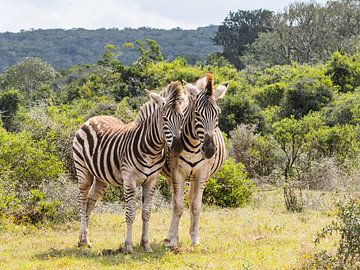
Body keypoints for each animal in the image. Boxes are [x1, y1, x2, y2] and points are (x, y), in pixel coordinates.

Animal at [73, 81, 186, 253]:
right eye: (165, 119)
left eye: (182, 118)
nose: (178, 148)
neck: (151, 150)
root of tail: (92, 118)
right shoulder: (129, 181)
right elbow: (130, 213)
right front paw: (128, 246)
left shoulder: (152, 180)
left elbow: (146, 213)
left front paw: (146, 245)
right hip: (83, 171)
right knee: (82, 201)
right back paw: (81, 240)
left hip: (101, 178)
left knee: (90, 203)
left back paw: (84, 240)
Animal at [163, 73, 228, 249]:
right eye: (197, 114)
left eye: (218, 113)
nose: (210, 150)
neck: (193, 146)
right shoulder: (177, 172)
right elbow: (178, 206)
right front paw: (173, 241)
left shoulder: (202, 173)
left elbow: (196, 206)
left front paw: (195, 239)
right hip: (172, 176)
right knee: (174, 201)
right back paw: (169, 236)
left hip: (193, 177)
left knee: (191, 200)